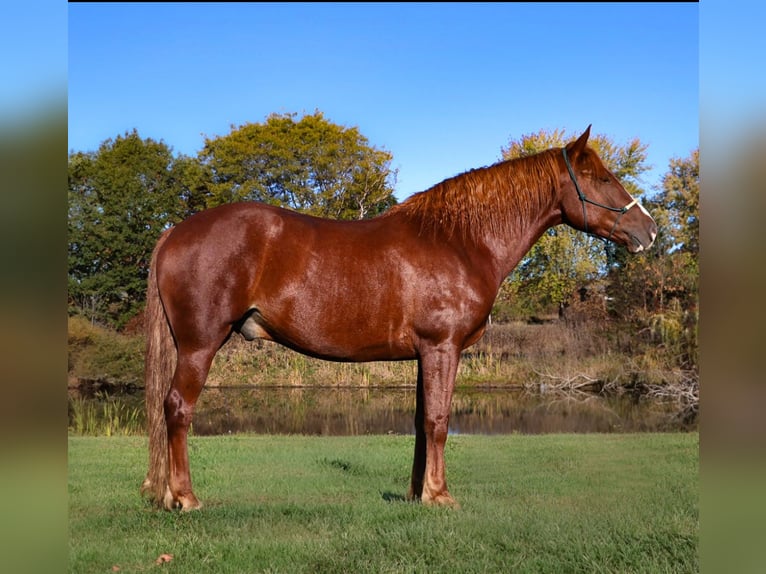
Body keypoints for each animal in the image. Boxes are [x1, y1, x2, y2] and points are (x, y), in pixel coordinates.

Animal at [141, 126, 657, 510]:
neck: (459, 241)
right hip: (200, 344)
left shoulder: (425, 354)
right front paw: (440, 496)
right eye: (602, 179)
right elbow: (440, 419)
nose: (649, 231)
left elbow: (420, 422)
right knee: (178, 408)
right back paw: (185, 499)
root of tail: (174, 232)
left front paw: (416, 493)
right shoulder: (443, 347)